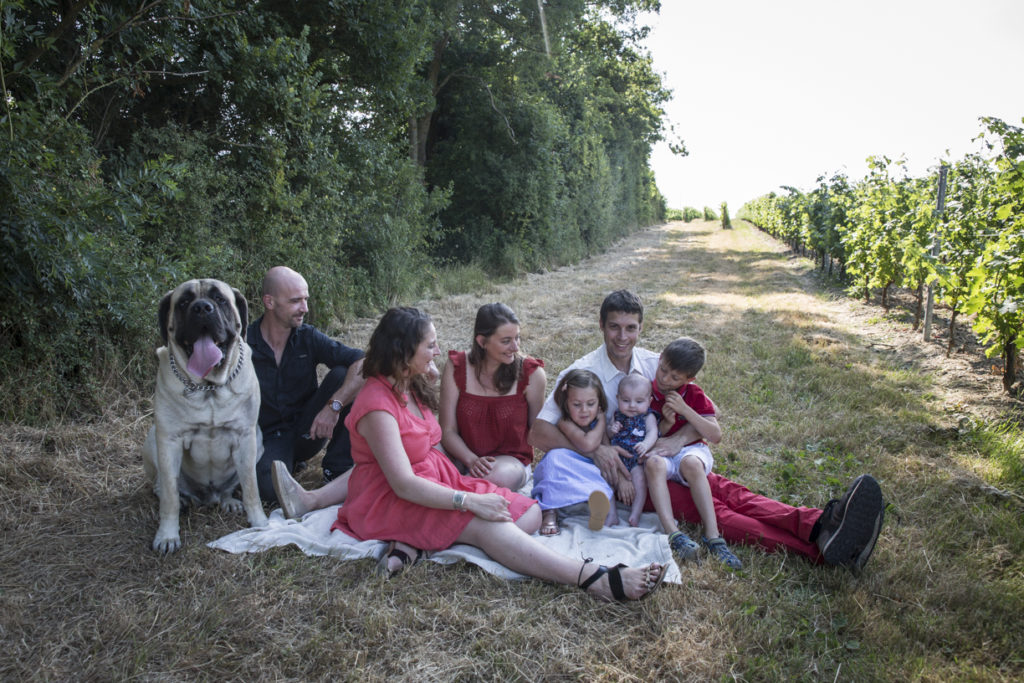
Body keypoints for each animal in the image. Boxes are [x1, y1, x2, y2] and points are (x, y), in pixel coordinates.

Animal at [141, 280, 268, 552]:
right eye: (184, 302)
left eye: (219, 299)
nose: (201, 308)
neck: (209, 389)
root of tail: (207, 497)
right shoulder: (169, 440)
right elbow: (169, 496)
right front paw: (167, 536)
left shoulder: (246, 436)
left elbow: (251, 485)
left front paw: (259, 522)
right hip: (153, 438)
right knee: (162, 487)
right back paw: (183, 499)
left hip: (259, 439)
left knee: (231, 487)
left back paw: (229, 500)